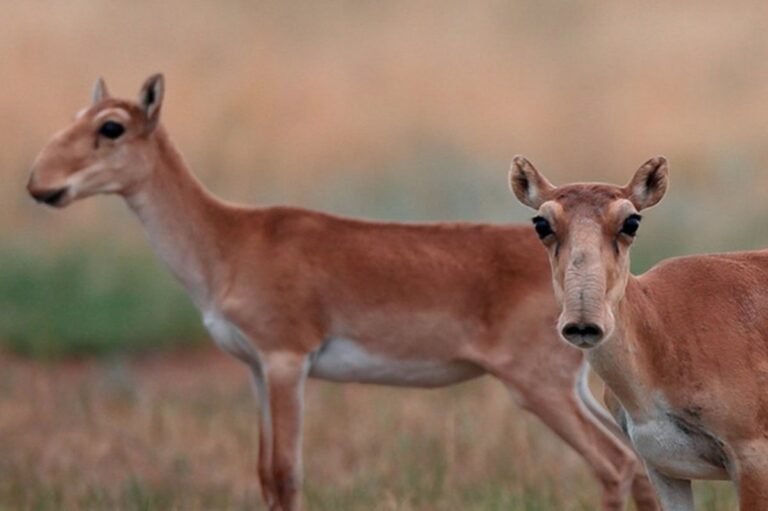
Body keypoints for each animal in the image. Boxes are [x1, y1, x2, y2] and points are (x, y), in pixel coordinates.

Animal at [27, 74, 659, 511]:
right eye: (77, 115)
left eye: (111, 126)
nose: (39, 184)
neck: (229, 240)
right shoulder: (256, 369)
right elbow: (265, 473)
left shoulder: (287, 361)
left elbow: (287, 473)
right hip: (572, 386)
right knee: (636, 462)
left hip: (538, 387)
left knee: (615, 464)